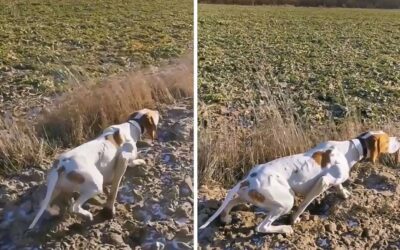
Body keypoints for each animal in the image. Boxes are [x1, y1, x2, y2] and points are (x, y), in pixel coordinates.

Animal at [27, 108, 159, 229]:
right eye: (153, 112)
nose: (158, 111)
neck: (132, 125)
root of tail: (61, 165)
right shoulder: (123, 159)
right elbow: (115, 188)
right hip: (95, 184)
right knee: (74, 207)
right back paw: (87, 215)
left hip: (56, 188)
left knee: (45, 204)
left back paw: (56, 212)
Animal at [200, 131, 400, 234]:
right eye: (387, 139)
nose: (397, 138)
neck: (351, 149)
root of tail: (248, 179)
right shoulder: (323, 182)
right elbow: (304, 204)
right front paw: (294, 219)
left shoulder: (334, 180)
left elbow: (340, 185)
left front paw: (344, 194)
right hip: (285, 200)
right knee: (262, 227)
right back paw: (283, 229)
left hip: (251, 196)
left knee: (232, 202)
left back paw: (225, 217)